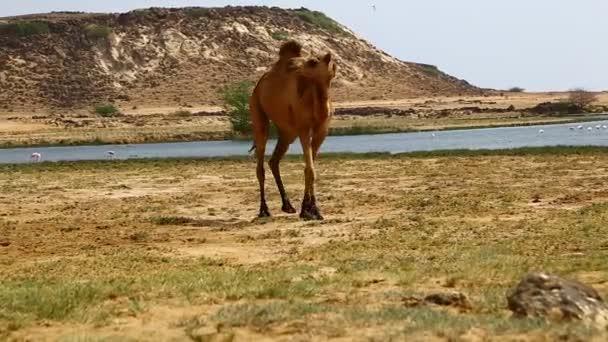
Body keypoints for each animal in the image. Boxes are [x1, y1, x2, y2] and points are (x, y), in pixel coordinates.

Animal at [249, 40, 340, 220]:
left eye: (313, 61)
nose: (293, 65)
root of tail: (258, 85)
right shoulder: (303, 128)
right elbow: (310, 169)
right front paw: (312, 210)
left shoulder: (322, 131)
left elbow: (310, 168)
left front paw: (309, 209)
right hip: (257, 111)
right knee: (260, 163)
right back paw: (264, 210)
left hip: (287, 132)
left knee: (274, 160)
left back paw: (288, 206)